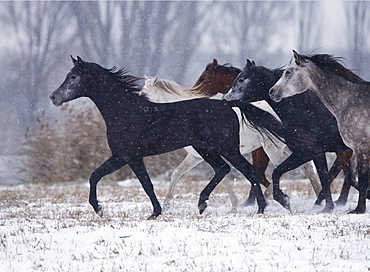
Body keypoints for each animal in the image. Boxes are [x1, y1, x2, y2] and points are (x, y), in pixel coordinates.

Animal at [142, 75, 320, 209]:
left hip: (272, 149)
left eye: (143, 93)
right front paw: (167, 204)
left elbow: (223, 175)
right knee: (306, 168)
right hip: (286, 147)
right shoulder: (197, 157)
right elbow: (178, 173)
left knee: (282, 169)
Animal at [268, 50, 370, 214]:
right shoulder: (354, 149)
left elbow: (362, 179)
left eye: (288, 72)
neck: (351, 101)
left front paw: (359, 210)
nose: (272, 92)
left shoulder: (362, 147)